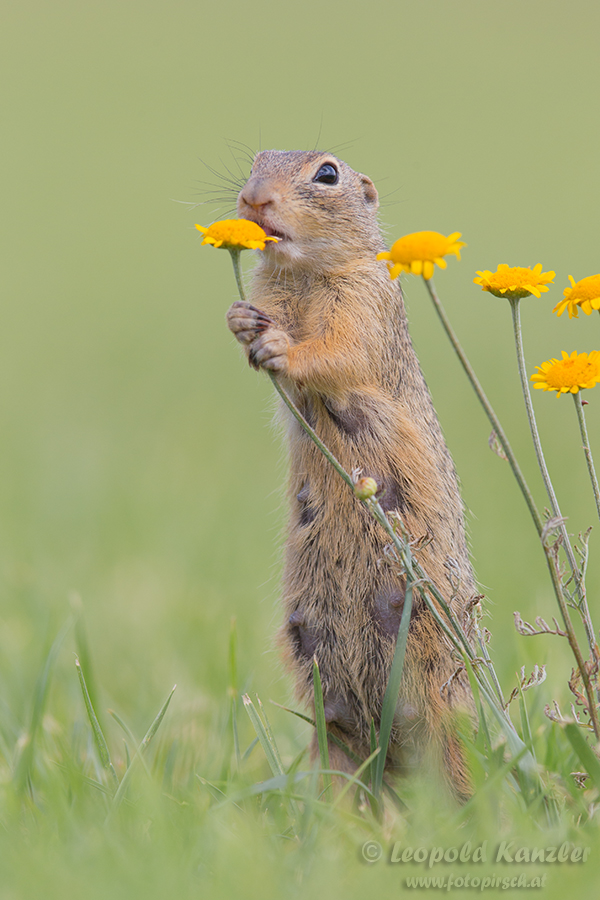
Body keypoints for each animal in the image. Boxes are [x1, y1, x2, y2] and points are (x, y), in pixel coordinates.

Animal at [227, 148, 476, 796]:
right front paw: (240, 319)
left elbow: (337, 351)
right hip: (327, 713)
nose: (253, 198)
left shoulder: (364, 301)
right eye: (256, 161)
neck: (304, 276)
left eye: (327, 174)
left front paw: (281, 347)